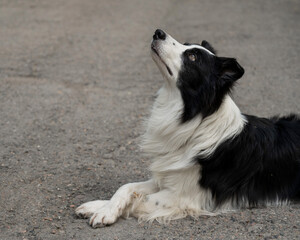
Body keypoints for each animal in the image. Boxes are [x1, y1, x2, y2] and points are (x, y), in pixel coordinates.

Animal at [75, 29, 300, 227]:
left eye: (192, 57)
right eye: (185, 44)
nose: (158, 32)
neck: (194, 121)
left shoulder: (184, 196)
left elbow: (139, 199)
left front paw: (104, 213)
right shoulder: (169, 175)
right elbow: (128, 187)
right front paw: (99, 207)